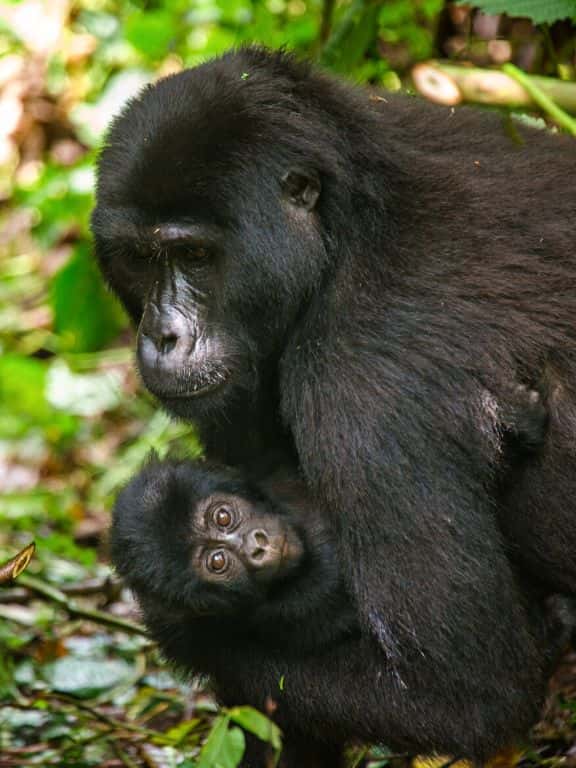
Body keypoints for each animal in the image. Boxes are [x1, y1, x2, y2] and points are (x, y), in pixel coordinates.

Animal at [93, 48, 576, 760]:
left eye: (195, 255)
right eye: (139, 259)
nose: (163, 336)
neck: (348, 225)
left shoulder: (360, 378)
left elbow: (468, 697)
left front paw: (189, 631)